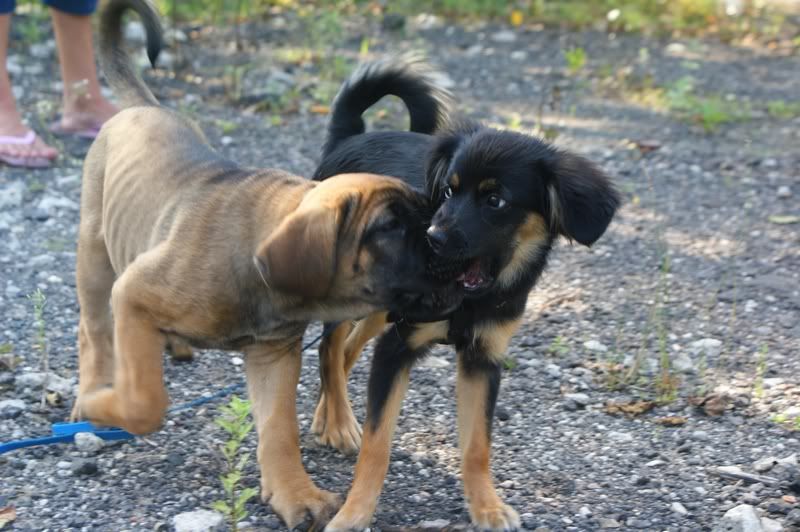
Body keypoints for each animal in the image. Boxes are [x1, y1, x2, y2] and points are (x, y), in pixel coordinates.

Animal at [73, 4, 461, 528]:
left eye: (426, 213)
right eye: (390, 227)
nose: (446, 246)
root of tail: (142, 106)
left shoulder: (273, 353)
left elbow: (279, 429)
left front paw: (295, 494)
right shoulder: (132, 293)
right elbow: (147, 402)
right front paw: (106, 402)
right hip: (96, 256)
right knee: (93, 330)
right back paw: (91, 393)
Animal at [311, 57, 621, 531]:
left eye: (495, 201)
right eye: (449, 190)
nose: (433, 237)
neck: (469, 296)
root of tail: (350, 138)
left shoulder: (483, 358)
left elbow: (477, 446)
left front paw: (487, 507)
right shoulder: (397, 348)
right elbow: (377, 445)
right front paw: (354, 513)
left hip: (382, 309)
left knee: (345, 350)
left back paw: (328, 414)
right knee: (329, 349)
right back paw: (340, 421)